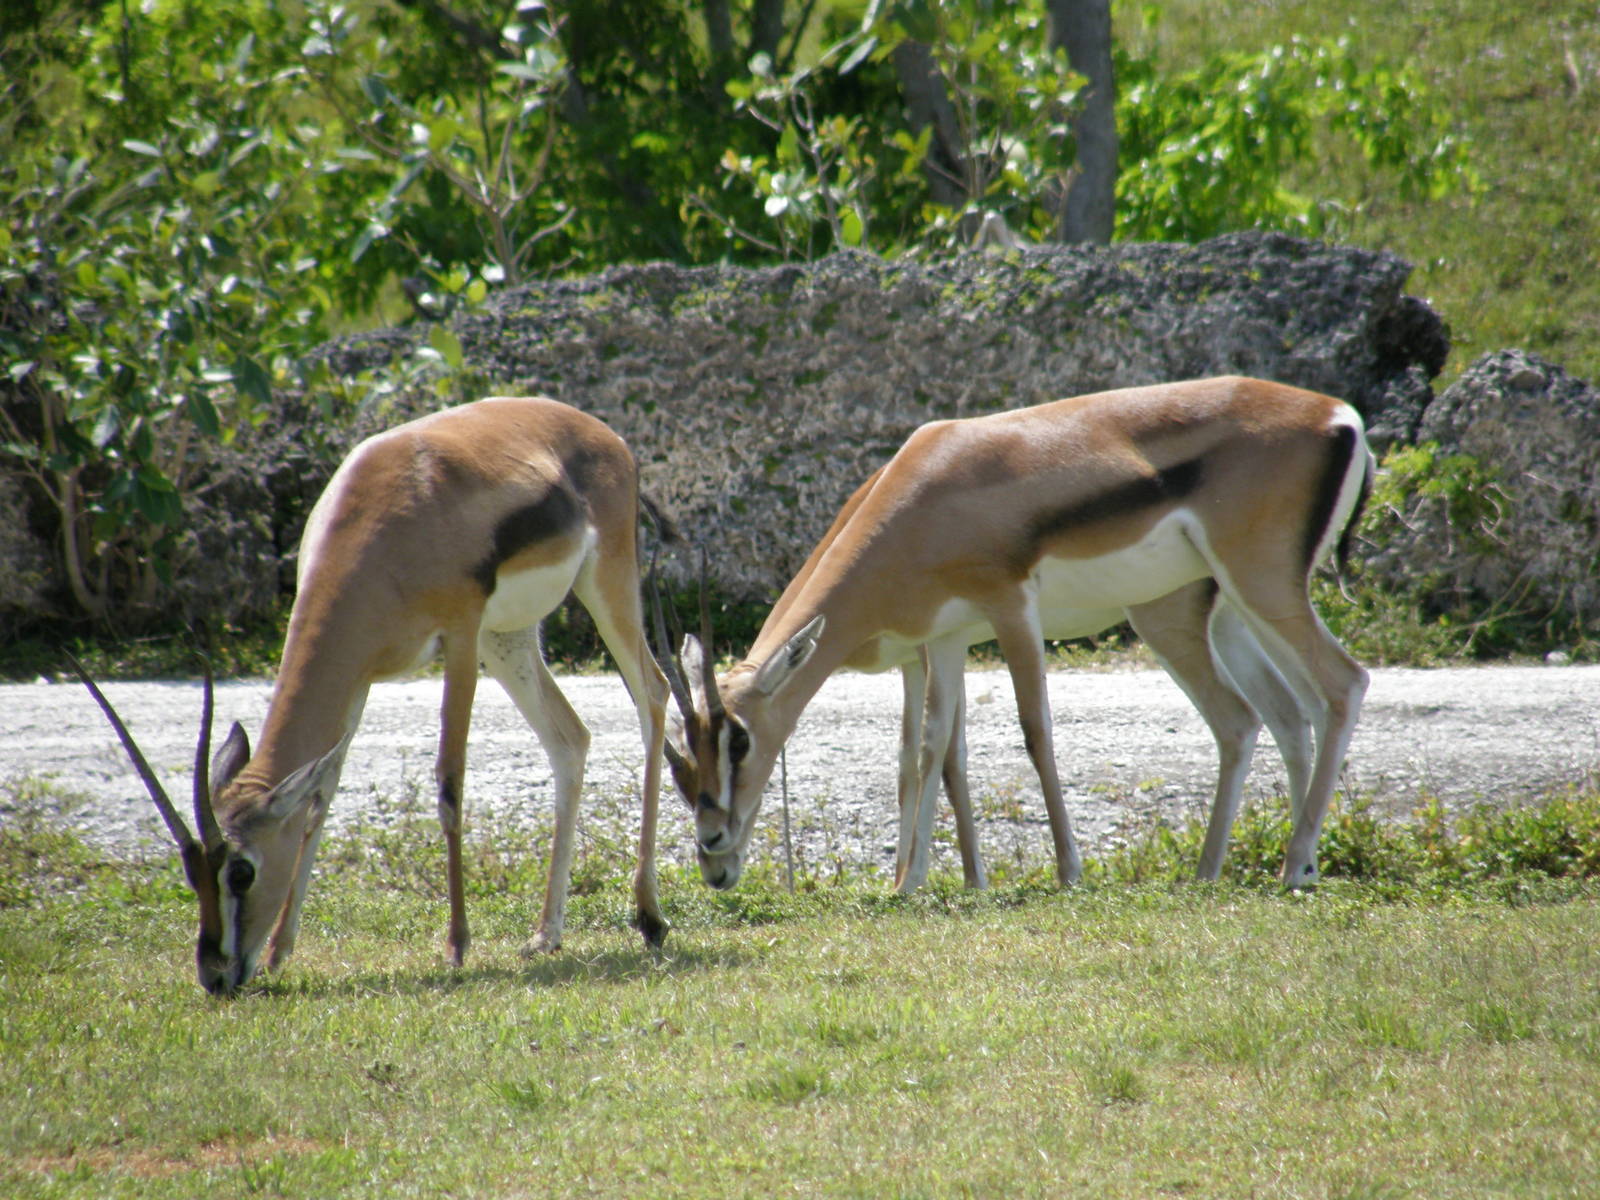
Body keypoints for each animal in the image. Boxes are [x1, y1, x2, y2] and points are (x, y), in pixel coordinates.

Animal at [73, 396, 673, 995]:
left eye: (241, 871)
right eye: (192, 874)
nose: (215, 975)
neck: (382, 531)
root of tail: (597, 430)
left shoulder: (458, 637)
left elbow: (449, 783)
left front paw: (456, 945)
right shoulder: (358, 676)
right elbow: (322, 793)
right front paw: (278, 952)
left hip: (602, 587)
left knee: (653, 694)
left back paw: (649, 918)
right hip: (507, 638)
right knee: (570, 738)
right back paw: (546, 935)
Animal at [657, 376, 1373, 893]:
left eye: (740, 740)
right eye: (682, 753)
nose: (711, 845)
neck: (925, 496)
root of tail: (1339, 416)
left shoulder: (1010, 610)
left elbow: (1034, 733)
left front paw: (1066, 872)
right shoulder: (944, 639)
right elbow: (931, 749)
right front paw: (912, 884)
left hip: (1258, 588)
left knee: (1341, 685)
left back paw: (1291, 867)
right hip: (1224, 612)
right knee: (1274, 715)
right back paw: (1234, 871)